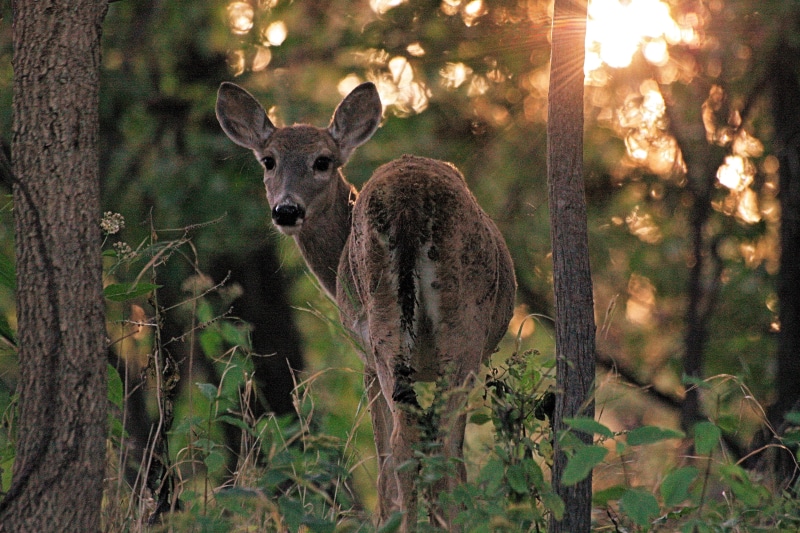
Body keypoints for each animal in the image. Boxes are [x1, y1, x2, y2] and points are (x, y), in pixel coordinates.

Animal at [215, 80, 516, 531]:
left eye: (322, 161)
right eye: (269, 161)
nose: (286, 209)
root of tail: (409, 204)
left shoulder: (365, 357)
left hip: (396, 330)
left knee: (414, 440)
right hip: (446, 327)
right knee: (426, 440)